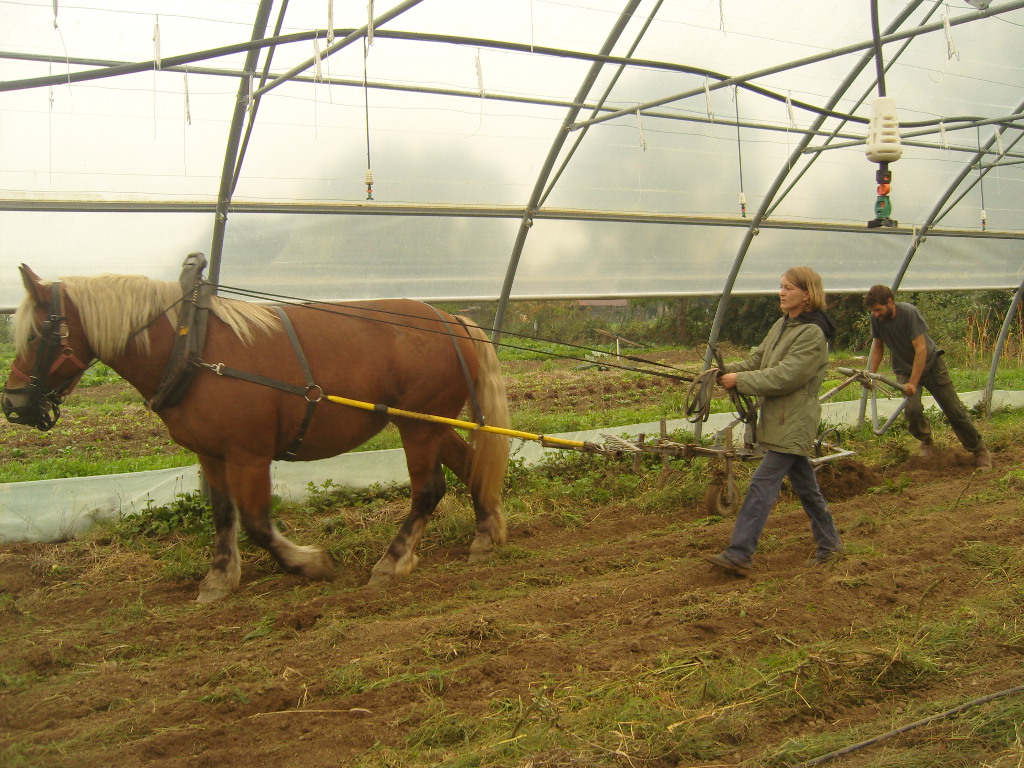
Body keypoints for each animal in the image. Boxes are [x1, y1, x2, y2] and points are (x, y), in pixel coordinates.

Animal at [2, 268, 509, 606]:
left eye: (36, 335)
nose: (13, 404)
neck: (193, 350)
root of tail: (451, 320)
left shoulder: (249, 455)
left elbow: (257, 524)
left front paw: (309, 564)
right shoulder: (211, 454)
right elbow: (223, 515)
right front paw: (220, 577)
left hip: (419, 425)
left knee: (428, 490)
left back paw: (394, 559)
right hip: (430, 424)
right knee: (472, 469)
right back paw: (486, 536)